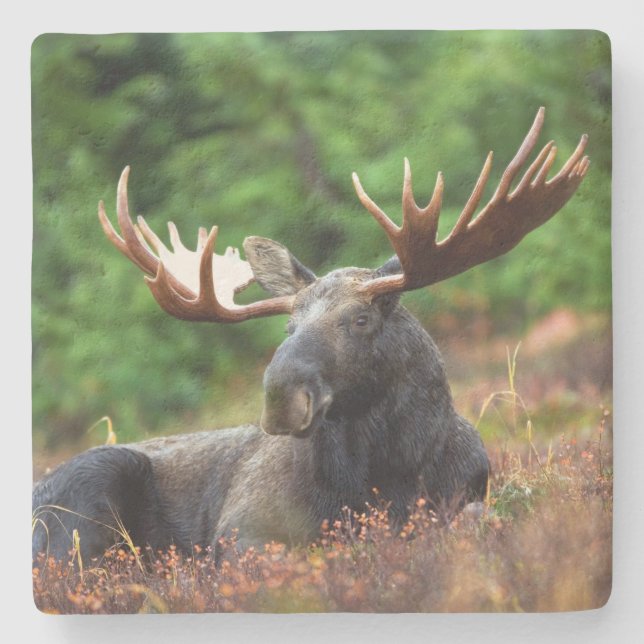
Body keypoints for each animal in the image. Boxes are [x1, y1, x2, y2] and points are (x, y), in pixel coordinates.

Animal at [32, 108, 589, 563]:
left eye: (361, 319)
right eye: (289, 325)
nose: (281, 397)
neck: (388, 476)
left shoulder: (467, 497)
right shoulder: (242, 530)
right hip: (87, 494)